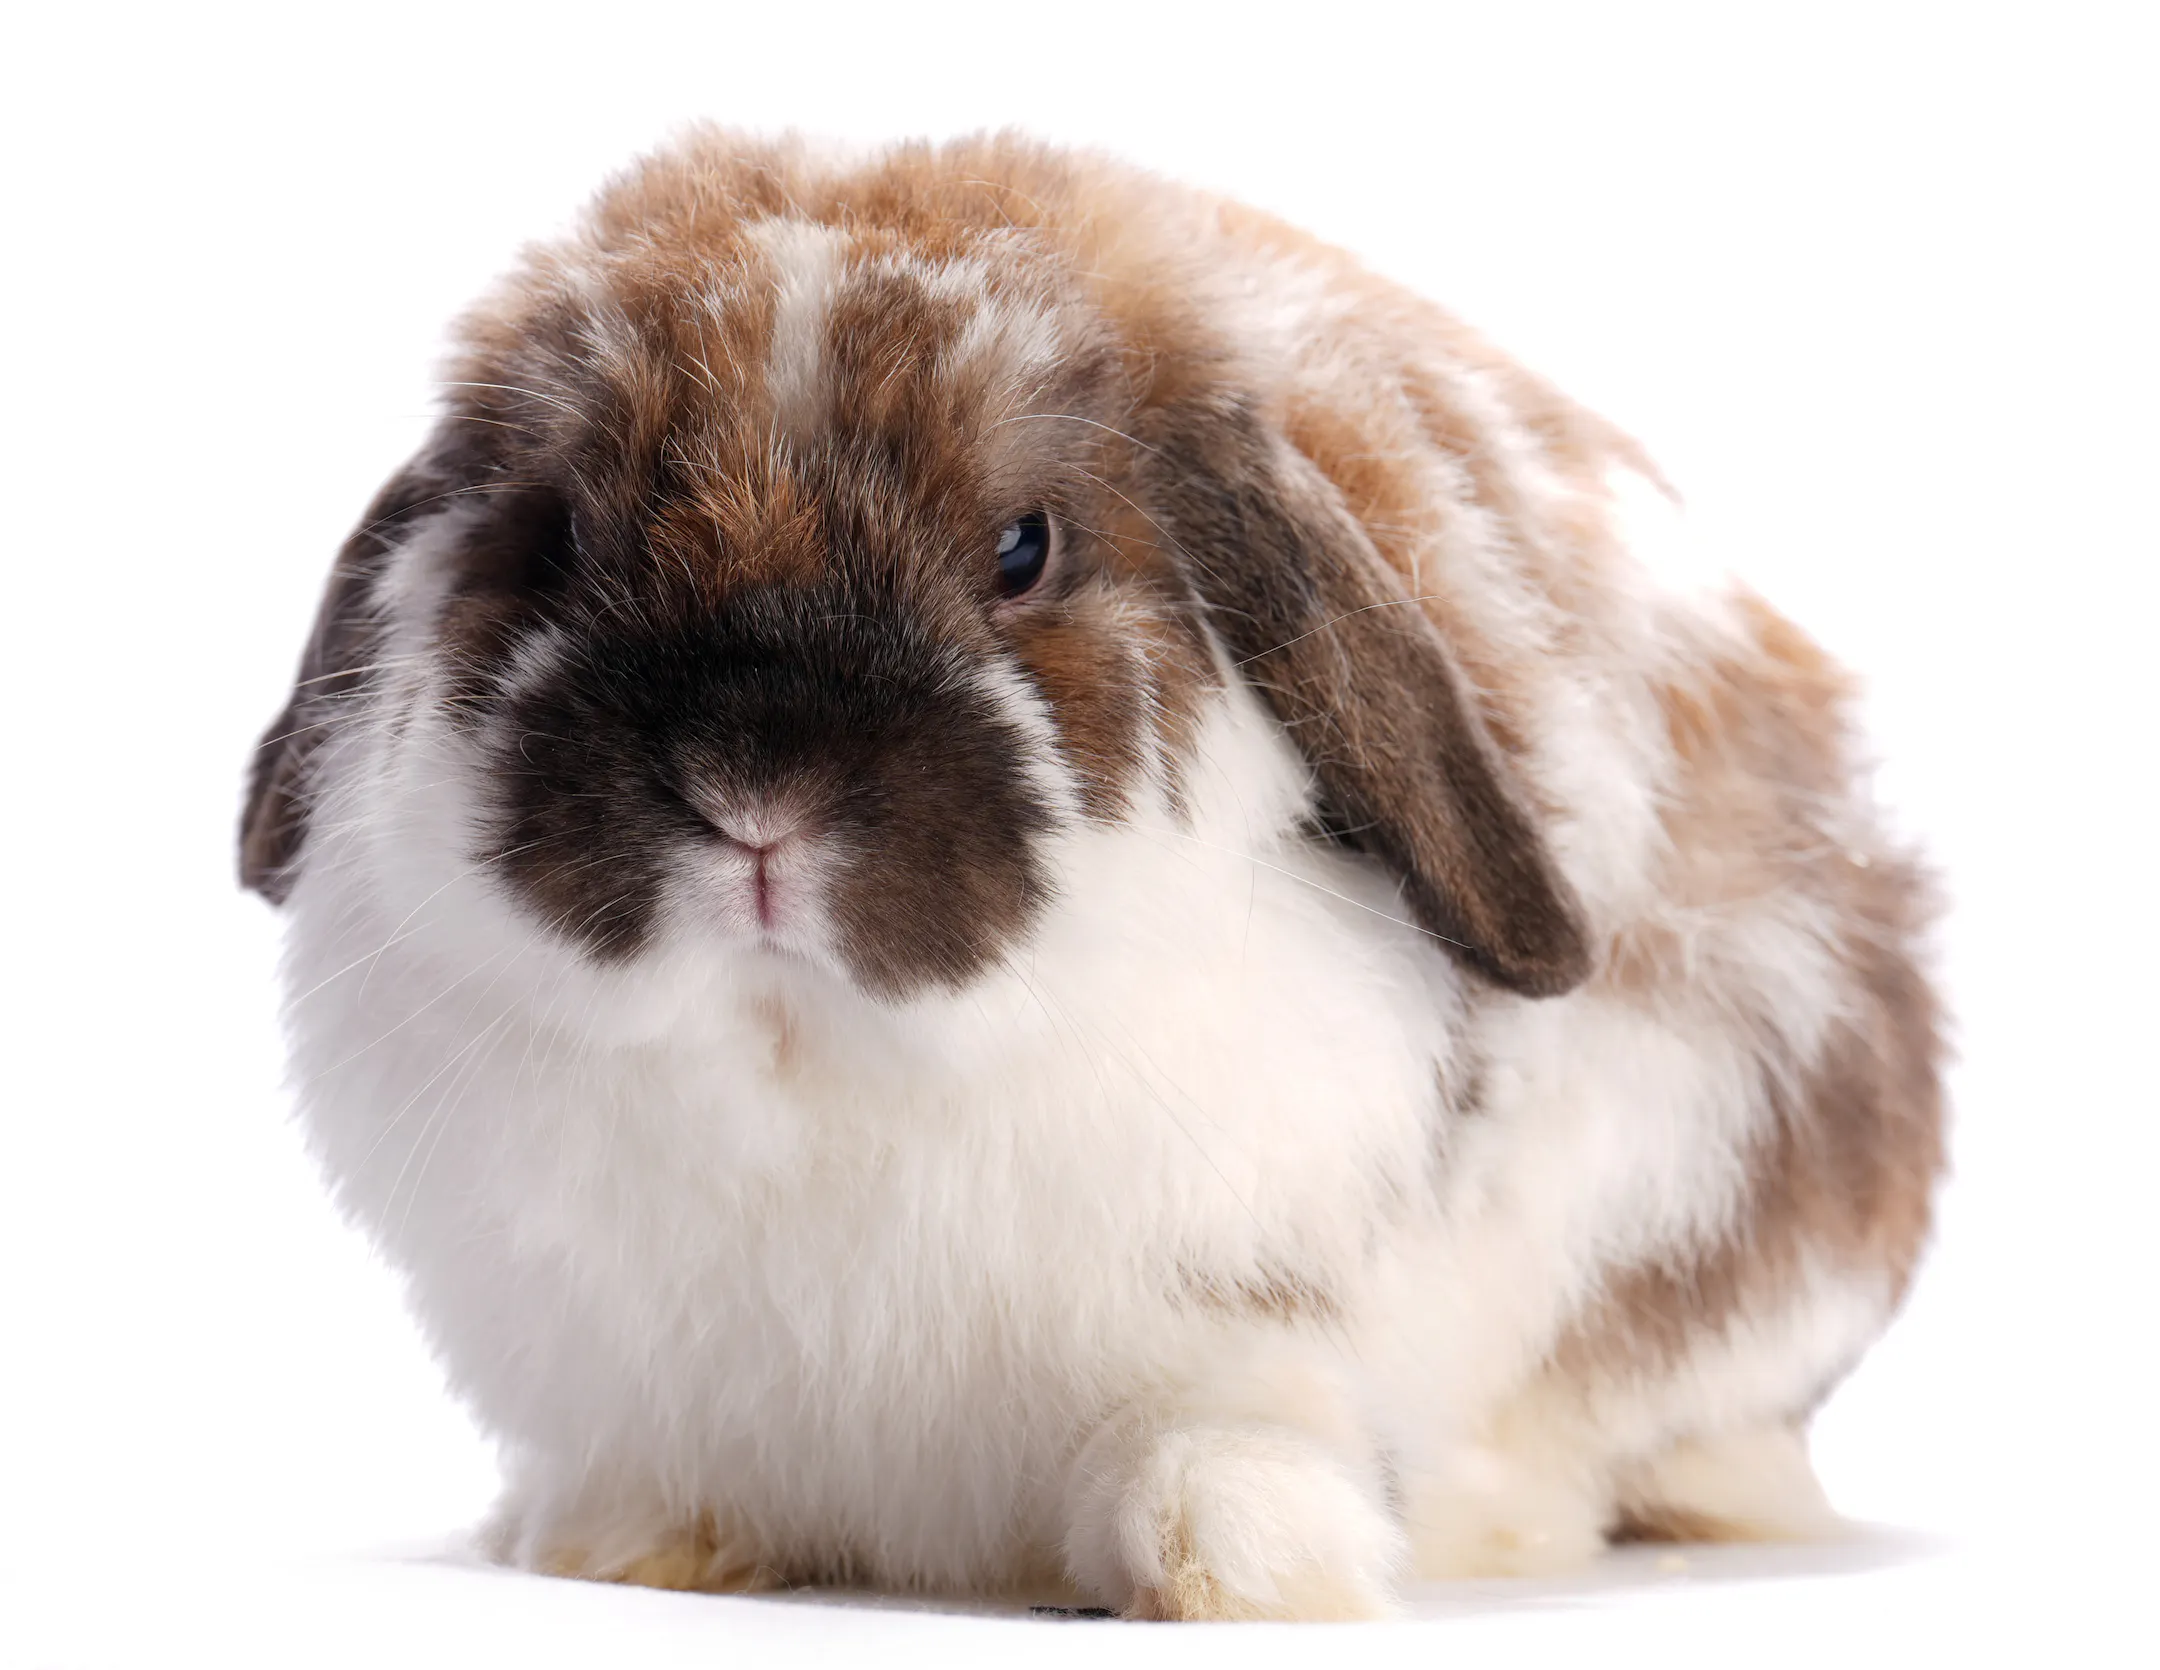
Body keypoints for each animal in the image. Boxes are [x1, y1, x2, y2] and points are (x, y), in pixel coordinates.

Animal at [239, 128, 1945, 1620]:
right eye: (560, 538)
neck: (814, 1060)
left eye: (1023, 548)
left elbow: (1217, 1441)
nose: (752, 787)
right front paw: (628, 1543)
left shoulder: (1241, 1321)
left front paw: (1241, 1572)